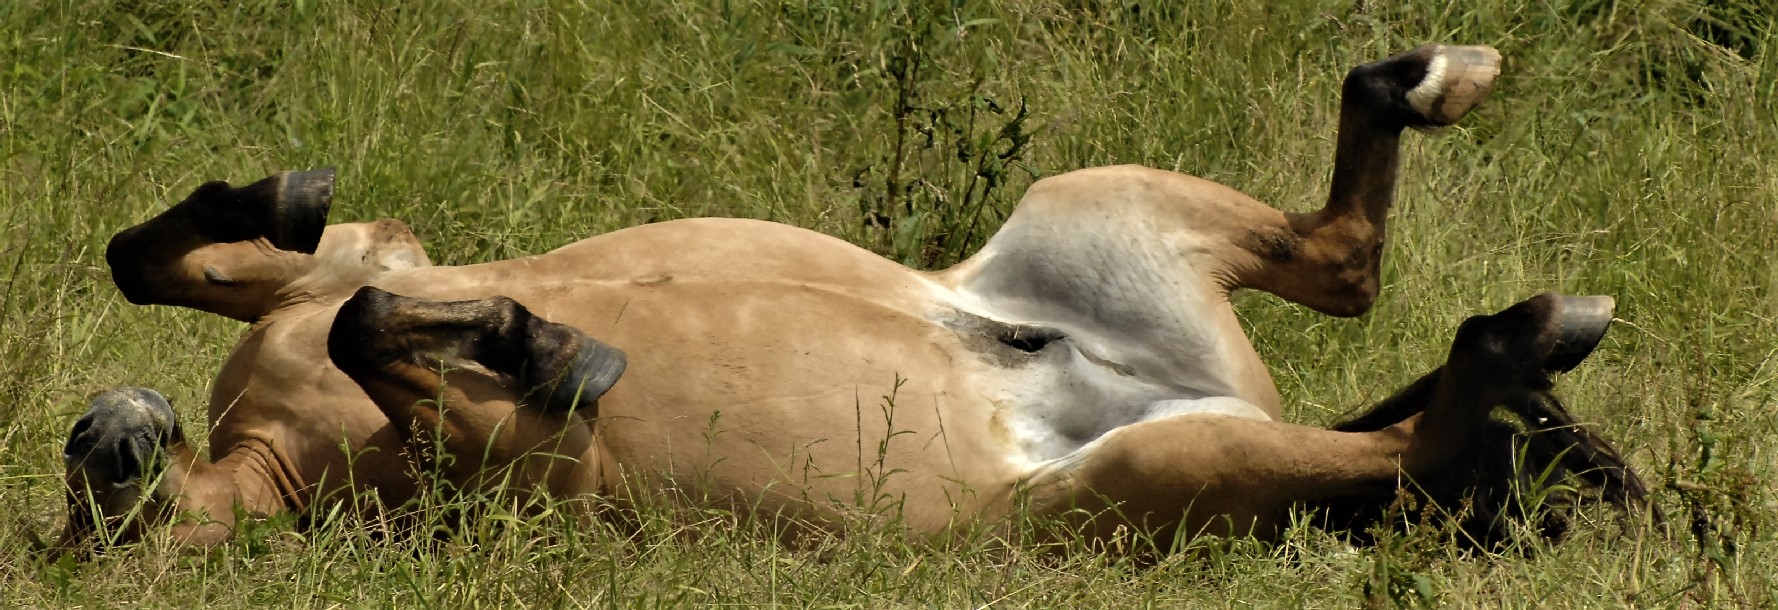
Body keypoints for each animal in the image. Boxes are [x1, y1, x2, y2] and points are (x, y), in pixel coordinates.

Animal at [62, 44, 1657, 554]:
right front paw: (550, 346)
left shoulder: (374, 257)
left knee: (1348, 272)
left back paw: (1435, 83)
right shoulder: (510, 465)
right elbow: (367, 327)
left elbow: (199, 264)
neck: (275, 450)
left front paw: (265, 199)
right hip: (1151, 471)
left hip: (1102, 207)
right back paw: (1523, 344)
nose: (105, 437)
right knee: (1418, 431)